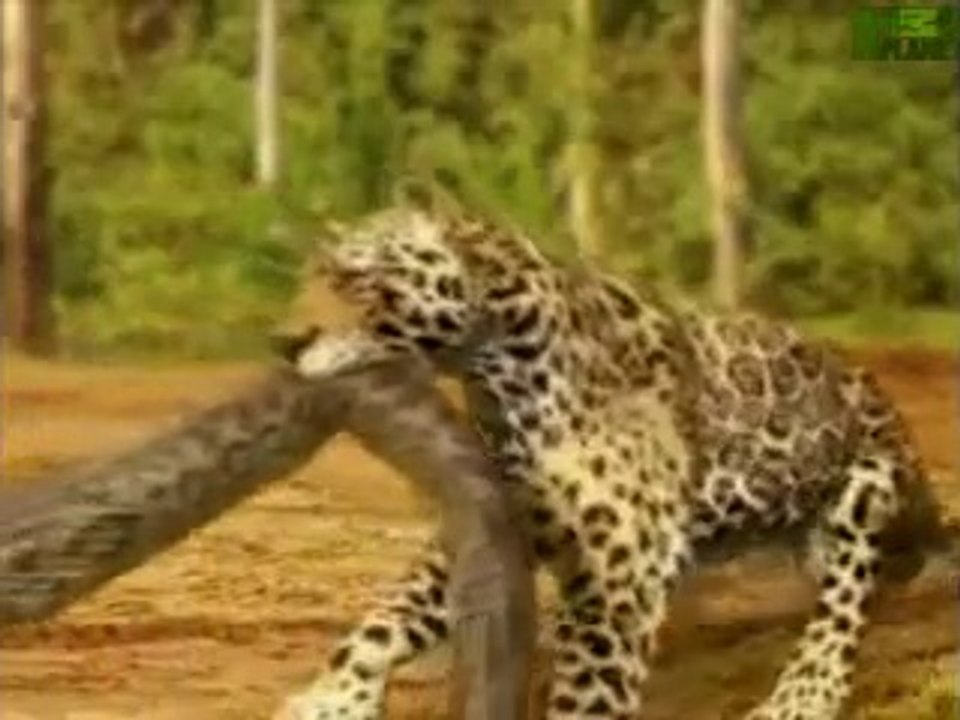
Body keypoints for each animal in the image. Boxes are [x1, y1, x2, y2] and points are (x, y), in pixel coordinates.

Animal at [269, 191, 949, 720]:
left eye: (357, 280)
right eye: (308, 277)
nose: (283, 341)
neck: (498, 377)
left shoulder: (619, 579)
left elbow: (588, 698)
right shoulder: (494, 525)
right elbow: (380, 624)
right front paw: (330, 700)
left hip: (862, 497)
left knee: (842, 612)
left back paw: (798, 698)